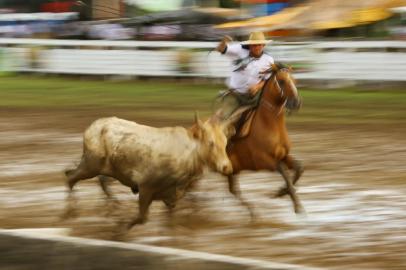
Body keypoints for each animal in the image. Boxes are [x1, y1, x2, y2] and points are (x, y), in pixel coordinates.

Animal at [225, 62, 304, 215]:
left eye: (295, 81)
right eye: (282, 81)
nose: (296, 103)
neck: (269, 124)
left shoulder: (284, 155)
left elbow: (299, 169)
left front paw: (281, 192)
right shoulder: (264, 160)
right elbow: (284, 173)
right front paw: (297, 205)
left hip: (233, 170)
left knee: (233, 191)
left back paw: (253, 213)